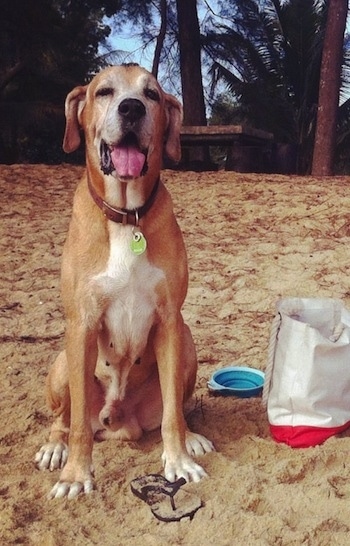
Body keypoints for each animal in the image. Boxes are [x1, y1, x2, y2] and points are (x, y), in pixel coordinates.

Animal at [34, 63, 213, 498]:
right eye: (104, 92)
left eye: (151, 94)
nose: (131, 108)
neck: (126, 216)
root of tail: (119, 421)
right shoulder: (81, 324)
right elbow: (78, 426)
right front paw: (76, 475)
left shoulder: (170, 321)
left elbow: (172, 416)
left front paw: (178, 459)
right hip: (63, 362)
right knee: (65, 419)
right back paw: (55, 447)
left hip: (186, 343)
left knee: (177, 409)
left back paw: (192, 438)